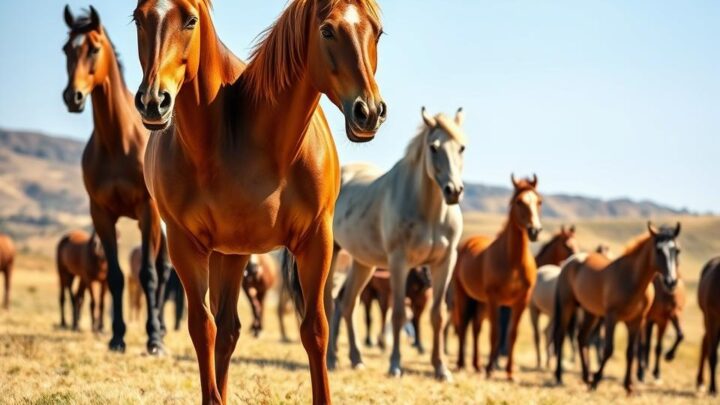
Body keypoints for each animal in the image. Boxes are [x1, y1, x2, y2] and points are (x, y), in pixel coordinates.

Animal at [62, 6, 171, 354]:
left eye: (94, 49)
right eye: (67, 49)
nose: (73, 97)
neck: (117, 143)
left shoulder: (147, 213)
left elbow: (148, 274)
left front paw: (153, 339)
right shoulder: (102, 214)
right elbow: (116, 277)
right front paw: (117, 336)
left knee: (163, 272)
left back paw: (161, 331)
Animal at [132, 0, 385, 402]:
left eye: (376, 32)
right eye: (327, 31)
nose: (369, 111)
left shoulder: (317, 240)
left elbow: (315, 328)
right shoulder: (184, 244)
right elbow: (201, 329)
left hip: (234, 254)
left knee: (229, 330)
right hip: (222, 253)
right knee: (220, 330)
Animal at [328, 107, 466, 380]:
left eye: (462, 147)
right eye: (434, 147)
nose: (453, 191)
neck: (429, 212)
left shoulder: (445, 262)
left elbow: (438, 315)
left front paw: (441, 368)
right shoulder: (399, 262)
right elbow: (400, 315)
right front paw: (395, 365)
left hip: (363, 263)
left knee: (347, 304)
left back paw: (356, 359)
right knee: (328, 303)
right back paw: (331, 359)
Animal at [452, 175, 542, 379]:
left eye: (539, 201)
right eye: (519, 202)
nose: (534, 231)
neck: (513, 262)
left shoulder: (521, 302)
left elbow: (512, 334)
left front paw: (509, 372)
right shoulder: (495, 300)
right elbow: (495, 333)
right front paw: (490, 369)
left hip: (480, 302)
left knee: (476, 329)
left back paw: (477, 365)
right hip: (464, 296)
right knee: (464, 326)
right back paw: (462, 364)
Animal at [554, 222, 681, 393]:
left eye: (677, 250)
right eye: (659, 250)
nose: (671, 282)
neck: (632, 280)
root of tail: (571, 260)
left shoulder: (636, 321)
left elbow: (631, 352)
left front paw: (628, 385)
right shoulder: (611, 317)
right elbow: (608, 349)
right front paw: (596, 380)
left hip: (591, 313)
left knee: (581, 338)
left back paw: (586, 377)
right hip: (568, 305)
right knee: (561, 336)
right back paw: (560, 376)